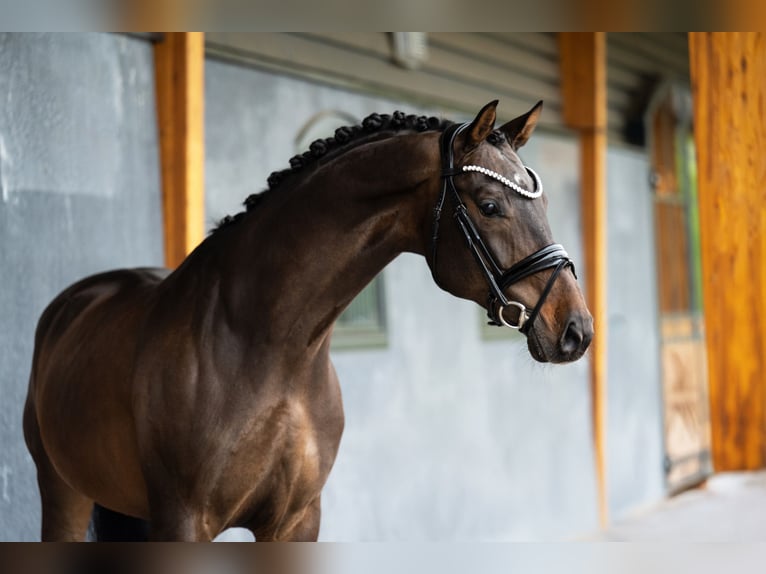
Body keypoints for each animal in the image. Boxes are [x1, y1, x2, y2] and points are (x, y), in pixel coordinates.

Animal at [23, 100, 593, 541]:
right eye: (490, 204)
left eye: (543, 204)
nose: (576, 330)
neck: (267, 345)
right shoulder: (183, 521)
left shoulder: (297, 521)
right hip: (63, 492)